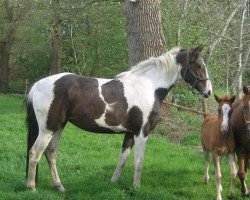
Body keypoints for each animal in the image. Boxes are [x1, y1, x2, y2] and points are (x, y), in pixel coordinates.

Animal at [26, 45, 212, 192]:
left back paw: (59, 186)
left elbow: (122, 160)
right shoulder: (141, 133)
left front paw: (113, 182)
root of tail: (39, 84)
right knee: (35, 153)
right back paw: (31, 187)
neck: (149, 86)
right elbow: (139, 161)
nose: (208, 92)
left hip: (59, 126)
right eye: (198, 66)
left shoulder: (130, 133)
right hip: (48, 129)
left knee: (50, 153)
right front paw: (137, 187)